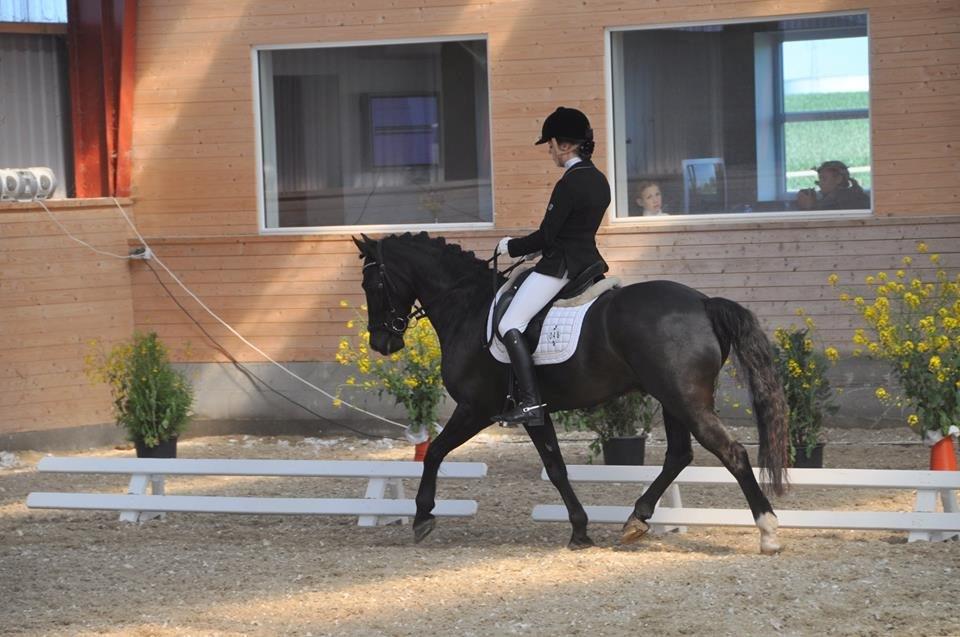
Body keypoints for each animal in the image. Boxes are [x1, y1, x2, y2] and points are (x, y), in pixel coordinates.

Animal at [350, 232, 788, 552]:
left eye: (371, 282)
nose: (382, 342)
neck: (469, 307)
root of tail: (702, 301)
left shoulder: (477, 408)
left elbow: (436, 452)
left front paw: (423, 517)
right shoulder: (535, 412)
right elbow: (556, 468)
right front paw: (580, 530)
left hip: (684, 398)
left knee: (731, 451)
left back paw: (768, 531)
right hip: (671, 399)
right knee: (679, 455)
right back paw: (635, 520)